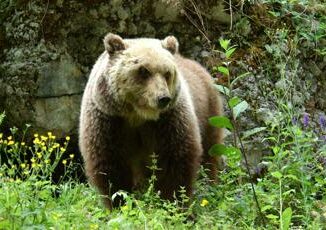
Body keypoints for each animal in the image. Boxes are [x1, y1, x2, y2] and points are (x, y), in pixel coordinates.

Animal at [78, 33, 224, 209]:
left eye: (167, 73)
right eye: (143, 70)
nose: (163, 98)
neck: (137, 115)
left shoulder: (168, 120)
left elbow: (176, 159)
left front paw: (172, 203)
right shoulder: (108, 120)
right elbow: (110, 164)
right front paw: (120, 202)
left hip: (209, 112)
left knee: (210, 152)